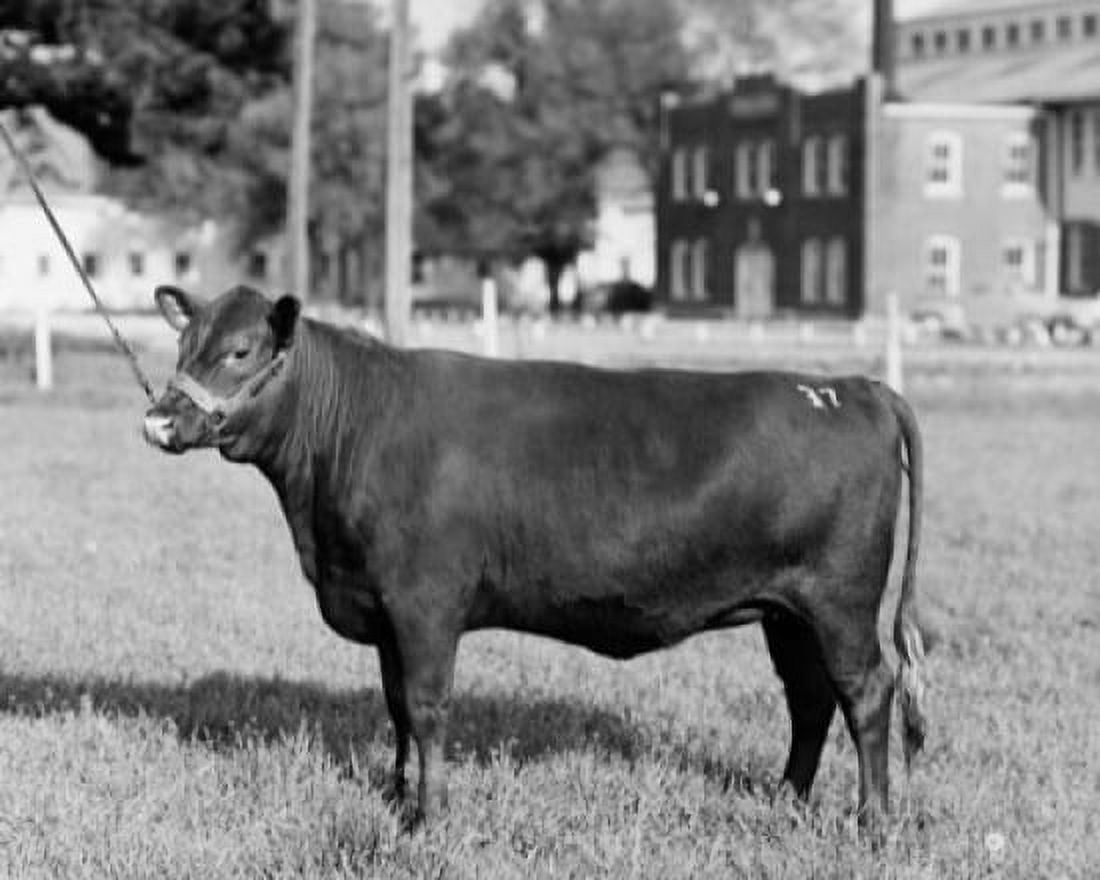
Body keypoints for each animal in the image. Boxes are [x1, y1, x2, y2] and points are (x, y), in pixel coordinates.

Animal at [142, 283, 929, 828]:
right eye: (183, 347)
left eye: (240, 351)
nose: (159, 420)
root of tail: (852, 388)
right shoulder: (383, 608)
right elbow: (395, 706)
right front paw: (397, 795)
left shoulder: (425, 604)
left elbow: (426, 707)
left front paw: (428, 816)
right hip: (786, 610)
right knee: (809, 699)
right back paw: (785, 799)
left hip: (841, 600)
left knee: (865, 692)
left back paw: (872, 821)